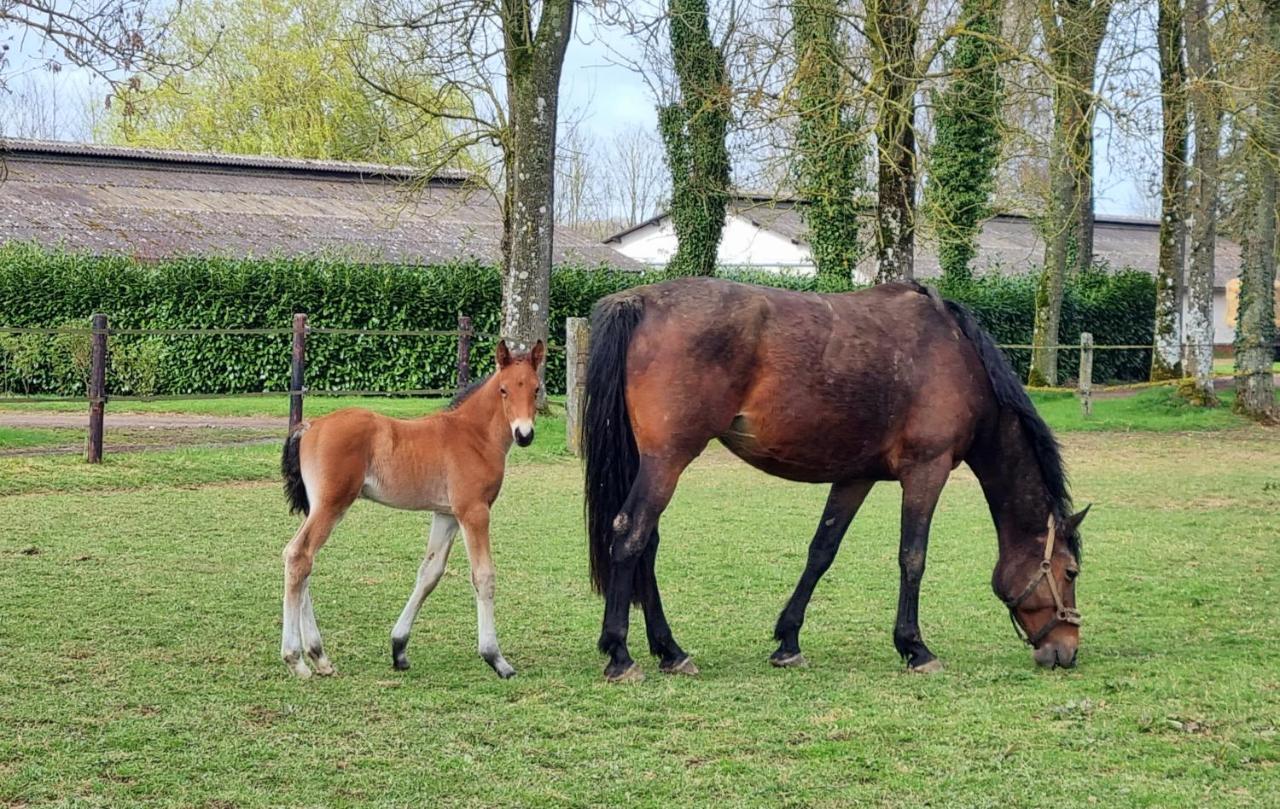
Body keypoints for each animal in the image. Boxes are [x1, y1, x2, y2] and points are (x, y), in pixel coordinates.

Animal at [280, 337, 545, 680]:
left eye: (536, 388)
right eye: (504, 389)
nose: (524, 435)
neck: (474, 435)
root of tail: (310, 426)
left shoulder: (447, 514)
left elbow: (429, 573)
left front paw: (399, 649)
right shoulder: (473, 511)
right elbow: (484, 576)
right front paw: (496, 658)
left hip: (319, 507)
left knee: (303, 561)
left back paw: (319, 656)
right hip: (331, 505)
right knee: (299, 555)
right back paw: (296, 659)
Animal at [586, 279, 1085, 680]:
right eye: (1071, 571)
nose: (1066, 651)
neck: (958, 357)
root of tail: (642, 300)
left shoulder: (855, 477)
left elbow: (821, 552)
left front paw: (788, 643)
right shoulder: (928, 469)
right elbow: (912, 557)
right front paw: (915, 648)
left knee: (647, 543)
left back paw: (670, 651)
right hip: (667, 460)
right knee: (630, 535)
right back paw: (621, 655)